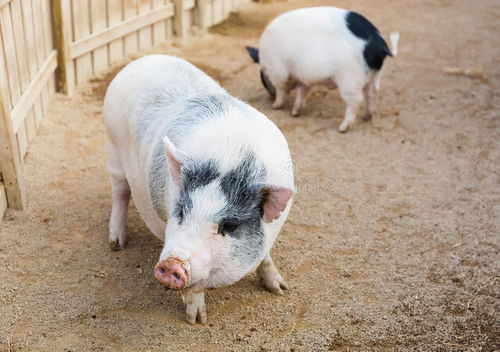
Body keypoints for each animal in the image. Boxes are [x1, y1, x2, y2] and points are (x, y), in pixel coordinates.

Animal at [246, 6, 398, 133]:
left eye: (263, 78)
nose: (270, 97)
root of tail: (379, 44)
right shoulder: (304, 76)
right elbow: (302, 92)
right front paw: (295, 113)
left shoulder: (278, 70)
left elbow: (281, 88)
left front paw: (275, 106)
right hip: (375, 76)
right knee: (372, 93)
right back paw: (367, 116)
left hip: (349, 79)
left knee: (356, 100)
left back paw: (342, 129)